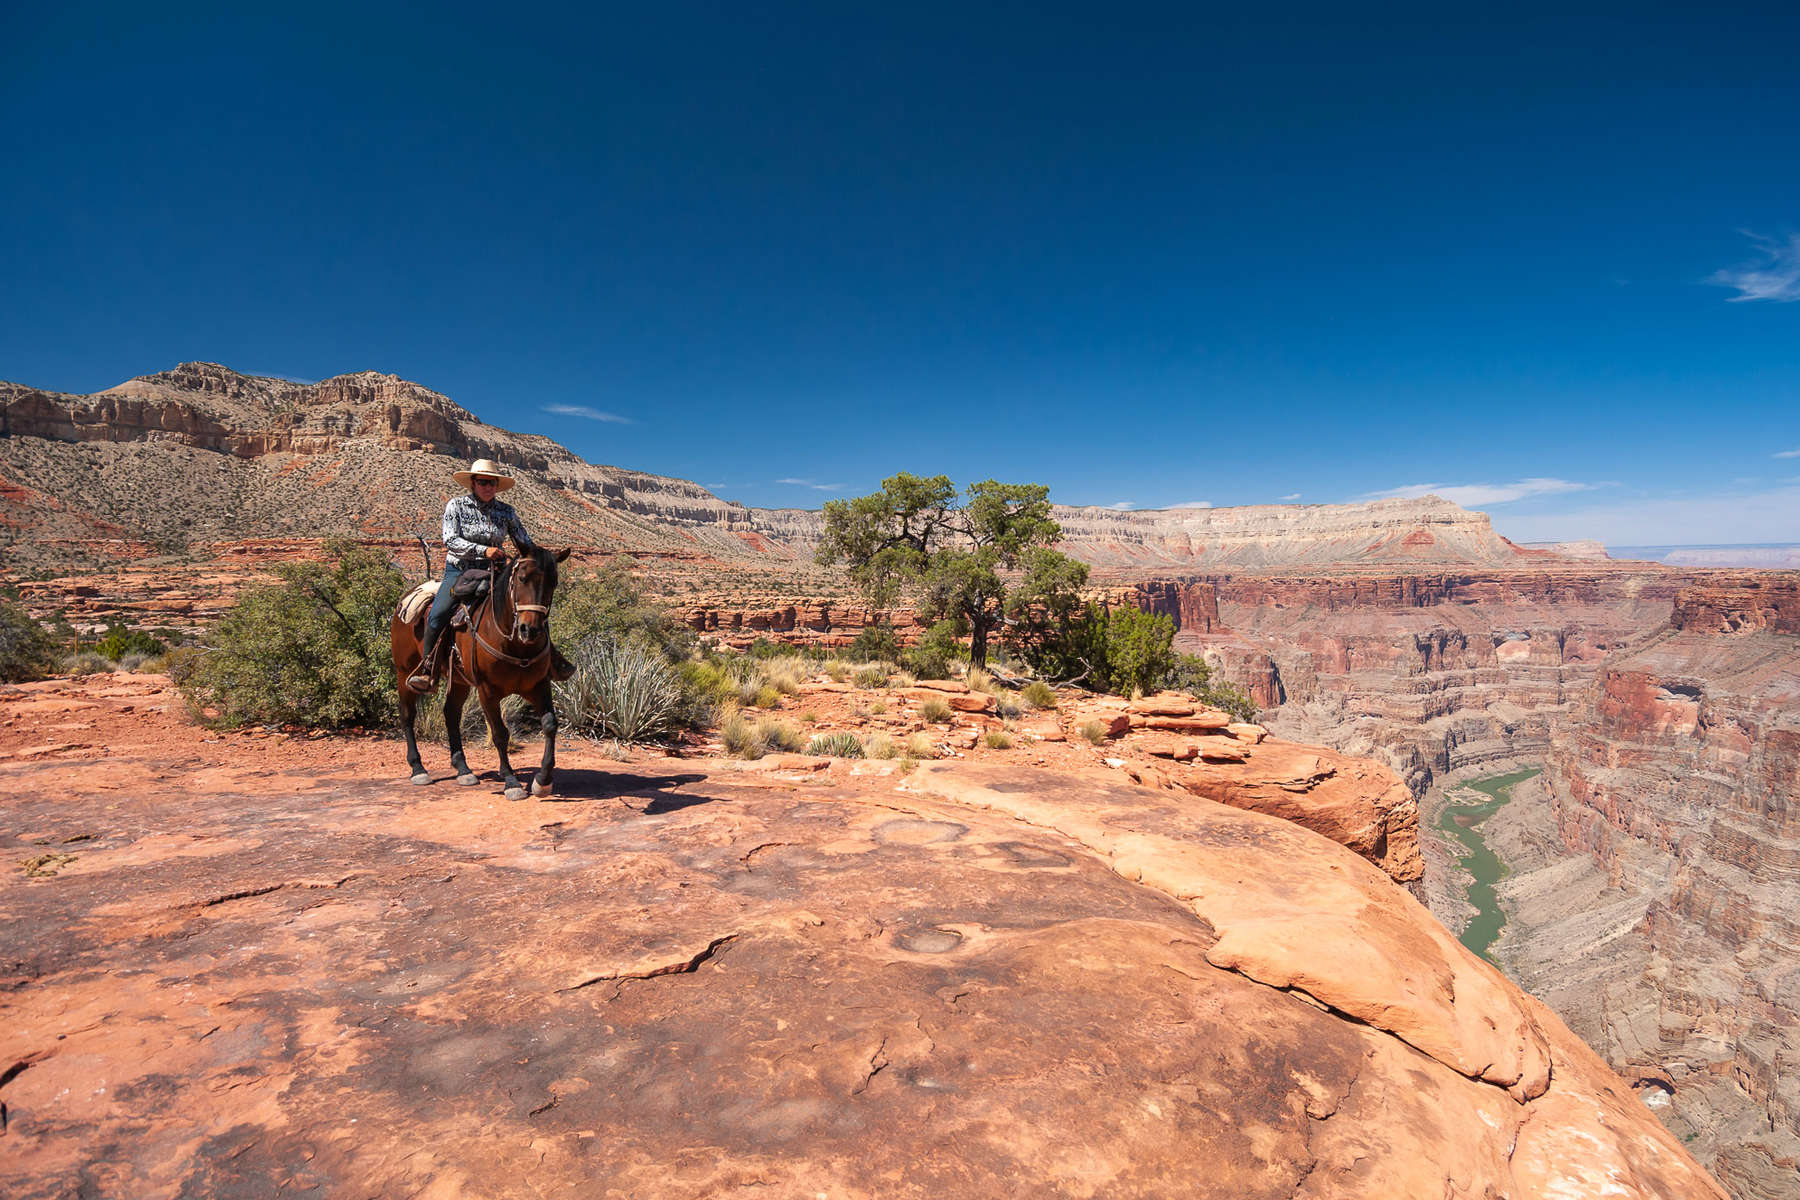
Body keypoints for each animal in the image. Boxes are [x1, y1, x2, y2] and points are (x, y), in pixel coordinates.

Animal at [392, 546, 568, 798]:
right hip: (404, 670)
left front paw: (542, 781)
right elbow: (500, 734)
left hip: (460, 681)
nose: (530, 630)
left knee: (451, 714)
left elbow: (550, 725)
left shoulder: (538, 686)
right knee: (407, 714)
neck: (513, 643)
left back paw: (463, 769)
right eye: (522, 578)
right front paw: (511, 782)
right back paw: (418, 769)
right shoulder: (487, 691)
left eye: (553, 582)